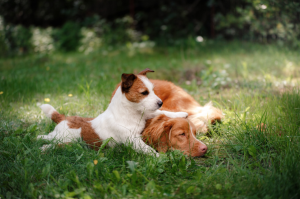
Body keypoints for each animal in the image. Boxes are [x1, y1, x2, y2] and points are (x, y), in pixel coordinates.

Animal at [37, 68, 221, 157]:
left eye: (153, 90)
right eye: (144, 92)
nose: (160, 101)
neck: (132, 115)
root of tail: (64, 118)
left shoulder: (146, 116)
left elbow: (158, 113)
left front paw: (180, 114)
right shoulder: (133, 140)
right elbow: (148, 150)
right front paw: (158, 157)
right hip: (61, 136)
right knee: (47, 138)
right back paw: (41, 143)